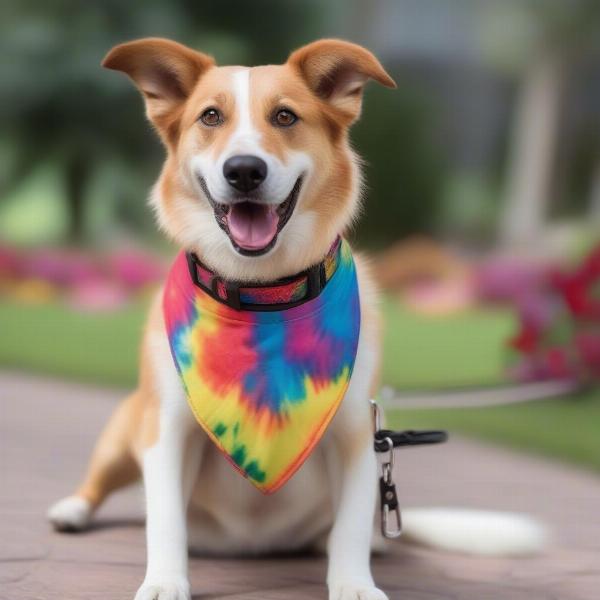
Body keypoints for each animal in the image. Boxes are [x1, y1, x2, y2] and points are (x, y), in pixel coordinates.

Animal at [47, 37, 544, 600]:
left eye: (285, 116)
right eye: (210, 116)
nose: (244, 170)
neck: (263, 295)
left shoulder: (357, 434)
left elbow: (351, 525)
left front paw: (354, 584)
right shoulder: (167, 427)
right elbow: (166, 518)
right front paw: (164, 581)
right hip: (126, 426)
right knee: (105, 484)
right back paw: (73, 508)